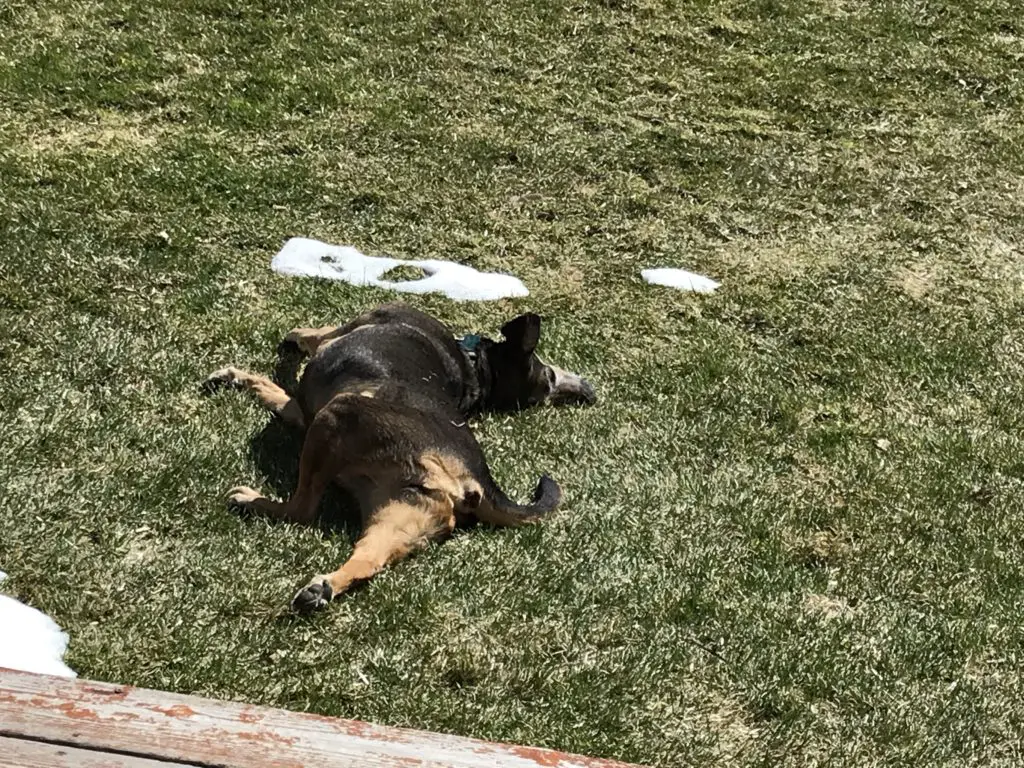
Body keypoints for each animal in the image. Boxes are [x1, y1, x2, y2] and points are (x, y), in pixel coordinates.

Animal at [204, 303, 598, 614]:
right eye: (549, 378)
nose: (585, 388)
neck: (474, 370)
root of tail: (474, 479)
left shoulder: (341, 335)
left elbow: (305, 341)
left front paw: (271, 352)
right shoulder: (300, 411)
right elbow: (275, 392)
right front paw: (240, 379)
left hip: (337, 415)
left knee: (302, 510)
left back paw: (251, 501)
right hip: (403, 512)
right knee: (368, 557)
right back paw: (322, 588)